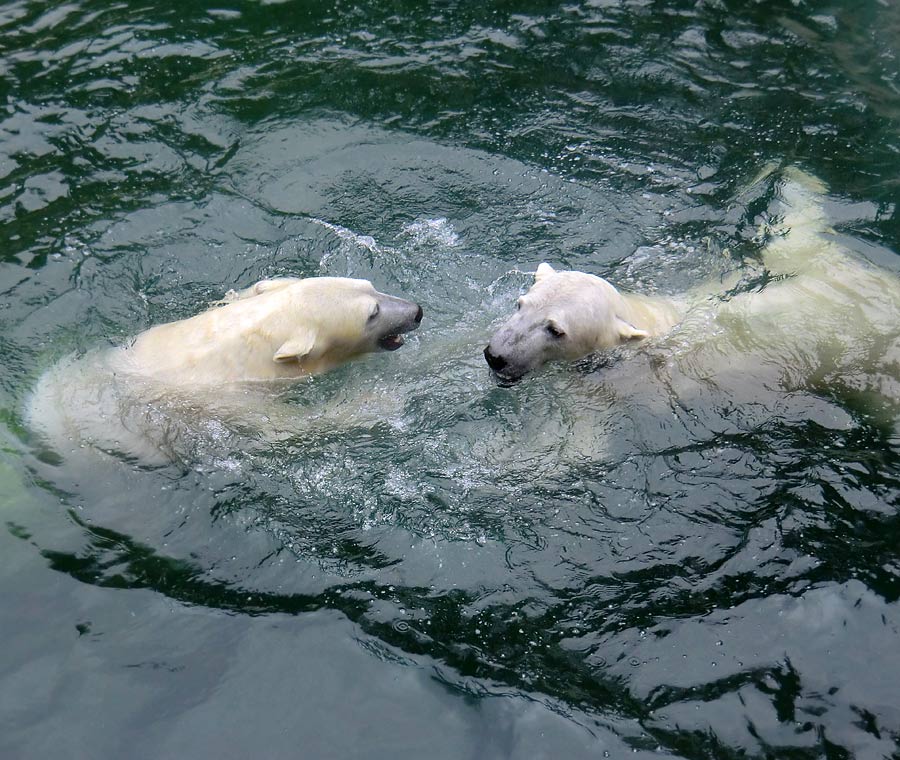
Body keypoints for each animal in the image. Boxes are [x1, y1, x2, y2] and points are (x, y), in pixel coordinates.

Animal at [26, 274, 422, 464]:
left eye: (371, 285)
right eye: (372, 313)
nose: (416, 311)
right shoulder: (233, 401)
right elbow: (289, 429)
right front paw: (377, 400)